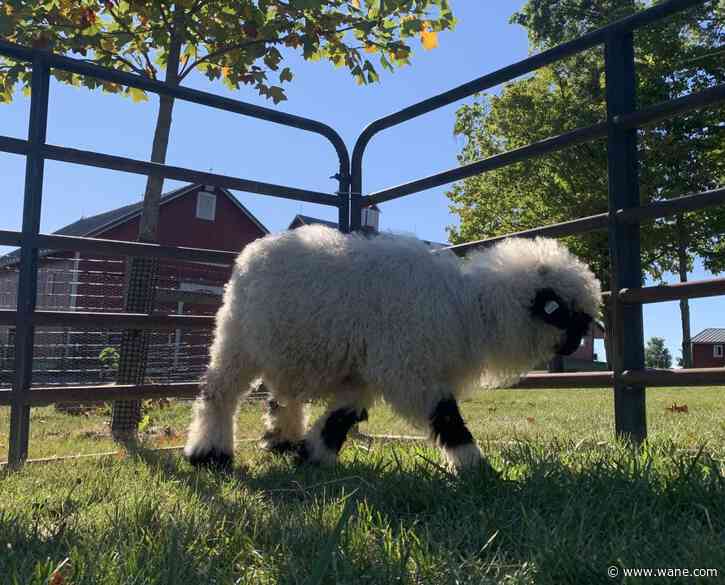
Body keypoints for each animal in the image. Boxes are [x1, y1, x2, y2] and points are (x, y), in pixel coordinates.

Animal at [184, 225, 601, 471]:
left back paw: (281, 440)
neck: (469, 308)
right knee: (218, 393)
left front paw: (314, 454)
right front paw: (475, 467)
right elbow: (446, 416)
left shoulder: (366, 374)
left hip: (287, 349)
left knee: (282, 397)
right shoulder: (409, 370)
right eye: (569, 317)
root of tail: (254, 251)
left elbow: (343, 417)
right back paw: (208, 453)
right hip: (237, 340)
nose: (580, 343)